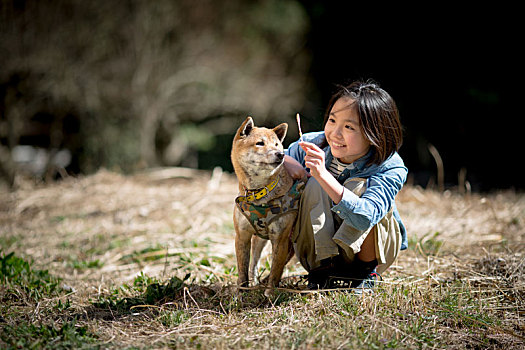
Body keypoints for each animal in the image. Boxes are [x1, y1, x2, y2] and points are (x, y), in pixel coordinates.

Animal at [230, 117, 308, 296]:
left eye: (277, 144)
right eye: (260, 143)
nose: (281, 154)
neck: (259, 193)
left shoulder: (280, 238)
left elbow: (276, 269)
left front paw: (271, 292)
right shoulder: (242, 236)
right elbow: (242, 269)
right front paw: (240, 292)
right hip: (259, 240)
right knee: (254, 262)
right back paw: (255, 282)